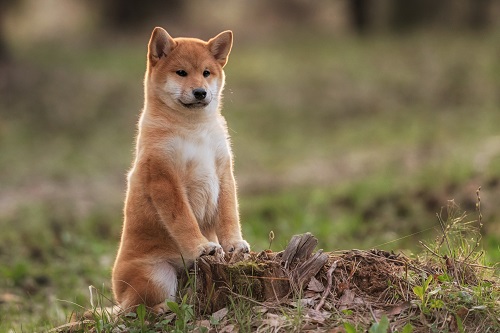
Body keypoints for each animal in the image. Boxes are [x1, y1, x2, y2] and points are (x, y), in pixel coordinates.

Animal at [111, 27, 248, 312]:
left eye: (206, 72)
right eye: (181, 72)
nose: (200, 92)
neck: (194, 129)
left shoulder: (223, 172)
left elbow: (229, 215)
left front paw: (233, 245)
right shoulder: (164, 178)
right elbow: (183, 220)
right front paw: (202, 248)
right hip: (158, 276)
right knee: (134, 309)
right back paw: (161, 309)